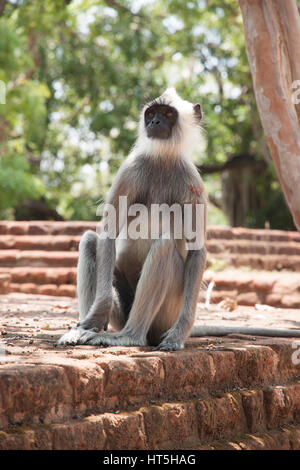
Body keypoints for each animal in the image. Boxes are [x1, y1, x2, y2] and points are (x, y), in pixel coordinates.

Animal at [58, 88, 300, 348]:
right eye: (151, 113)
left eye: (167, 114)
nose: (154, 123)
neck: (163, 159)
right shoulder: (129, 170)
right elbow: (108, 234)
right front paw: (92, 320)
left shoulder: (193, 182)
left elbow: (196, 250)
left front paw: (179, 333)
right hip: (123, 310)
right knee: (90, 240)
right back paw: (93, 328)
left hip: (169, 310)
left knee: (164, 246)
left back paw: (130, 336)